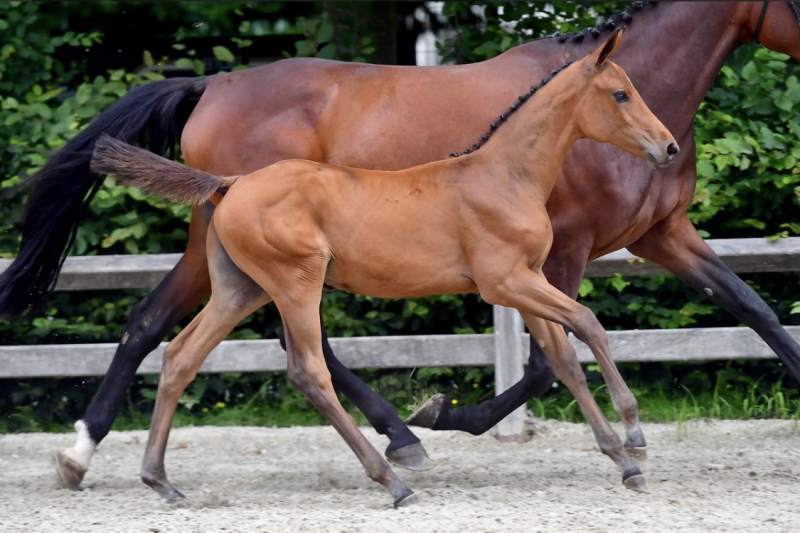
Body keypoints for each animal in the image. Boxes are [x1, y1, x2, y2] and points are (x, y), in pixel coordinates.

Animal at [90, 31, 676, 504]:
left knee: (180, 356)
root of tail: (231, 183)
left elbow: (562, 359)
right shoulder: (506, 281)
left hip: (241, 290)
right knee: (308, 370)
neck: (504, 175)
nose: (668, 147)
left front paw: (622, 461)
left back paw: (159, 479)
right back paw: (393, 478)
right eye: (621, 93)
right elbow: (588, 325)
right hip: (296, 283)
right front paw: (634, 435)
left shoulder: (526, 281)